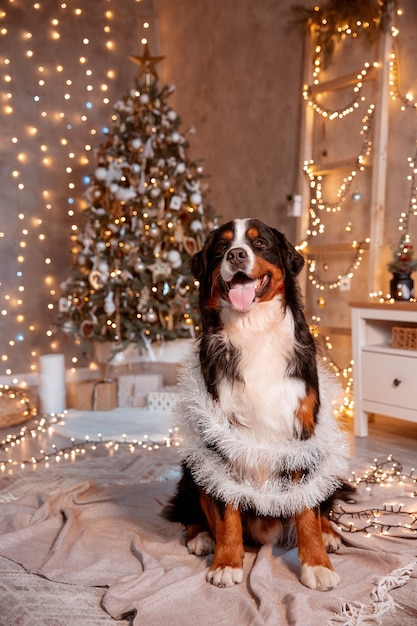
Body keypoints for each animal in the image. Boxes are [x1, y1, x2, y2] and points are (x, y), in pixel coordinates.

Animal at [162, 218, 348, 588]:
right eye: (221, 247)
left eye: (259, 243)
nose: (235, 254)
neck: (253, 328)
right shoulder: (221, 437)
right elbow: (227, 509)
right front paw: (227, 562)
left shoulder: (301, 433)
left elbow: (307, 510)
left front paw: (316, 563)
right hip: (193, 463)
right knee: (189, 506)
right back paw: (201, 536)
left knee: (321, 501)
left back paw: (330, 533)